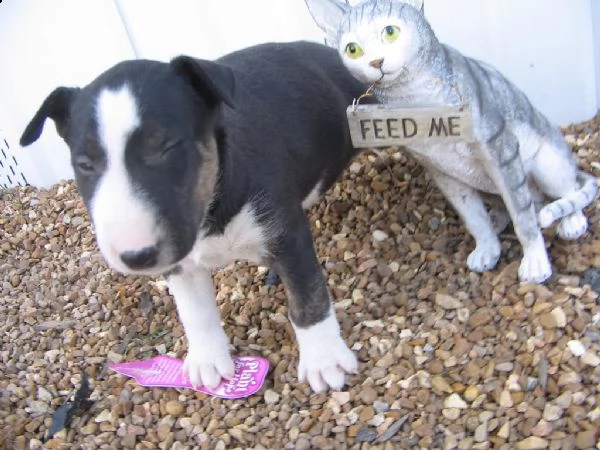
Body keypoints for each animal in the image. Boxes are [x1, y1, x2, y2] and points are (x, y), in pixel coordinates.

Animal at [21, 41, 368, 394]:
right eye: (85, 164)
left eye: (166, 147)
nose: (136, 257)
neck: (211, 211)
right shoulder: (179, 263)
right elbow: (194, 311)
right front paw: (207, 360)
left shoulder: (288, 234)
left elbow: (307, 297)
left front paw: (324, 361)